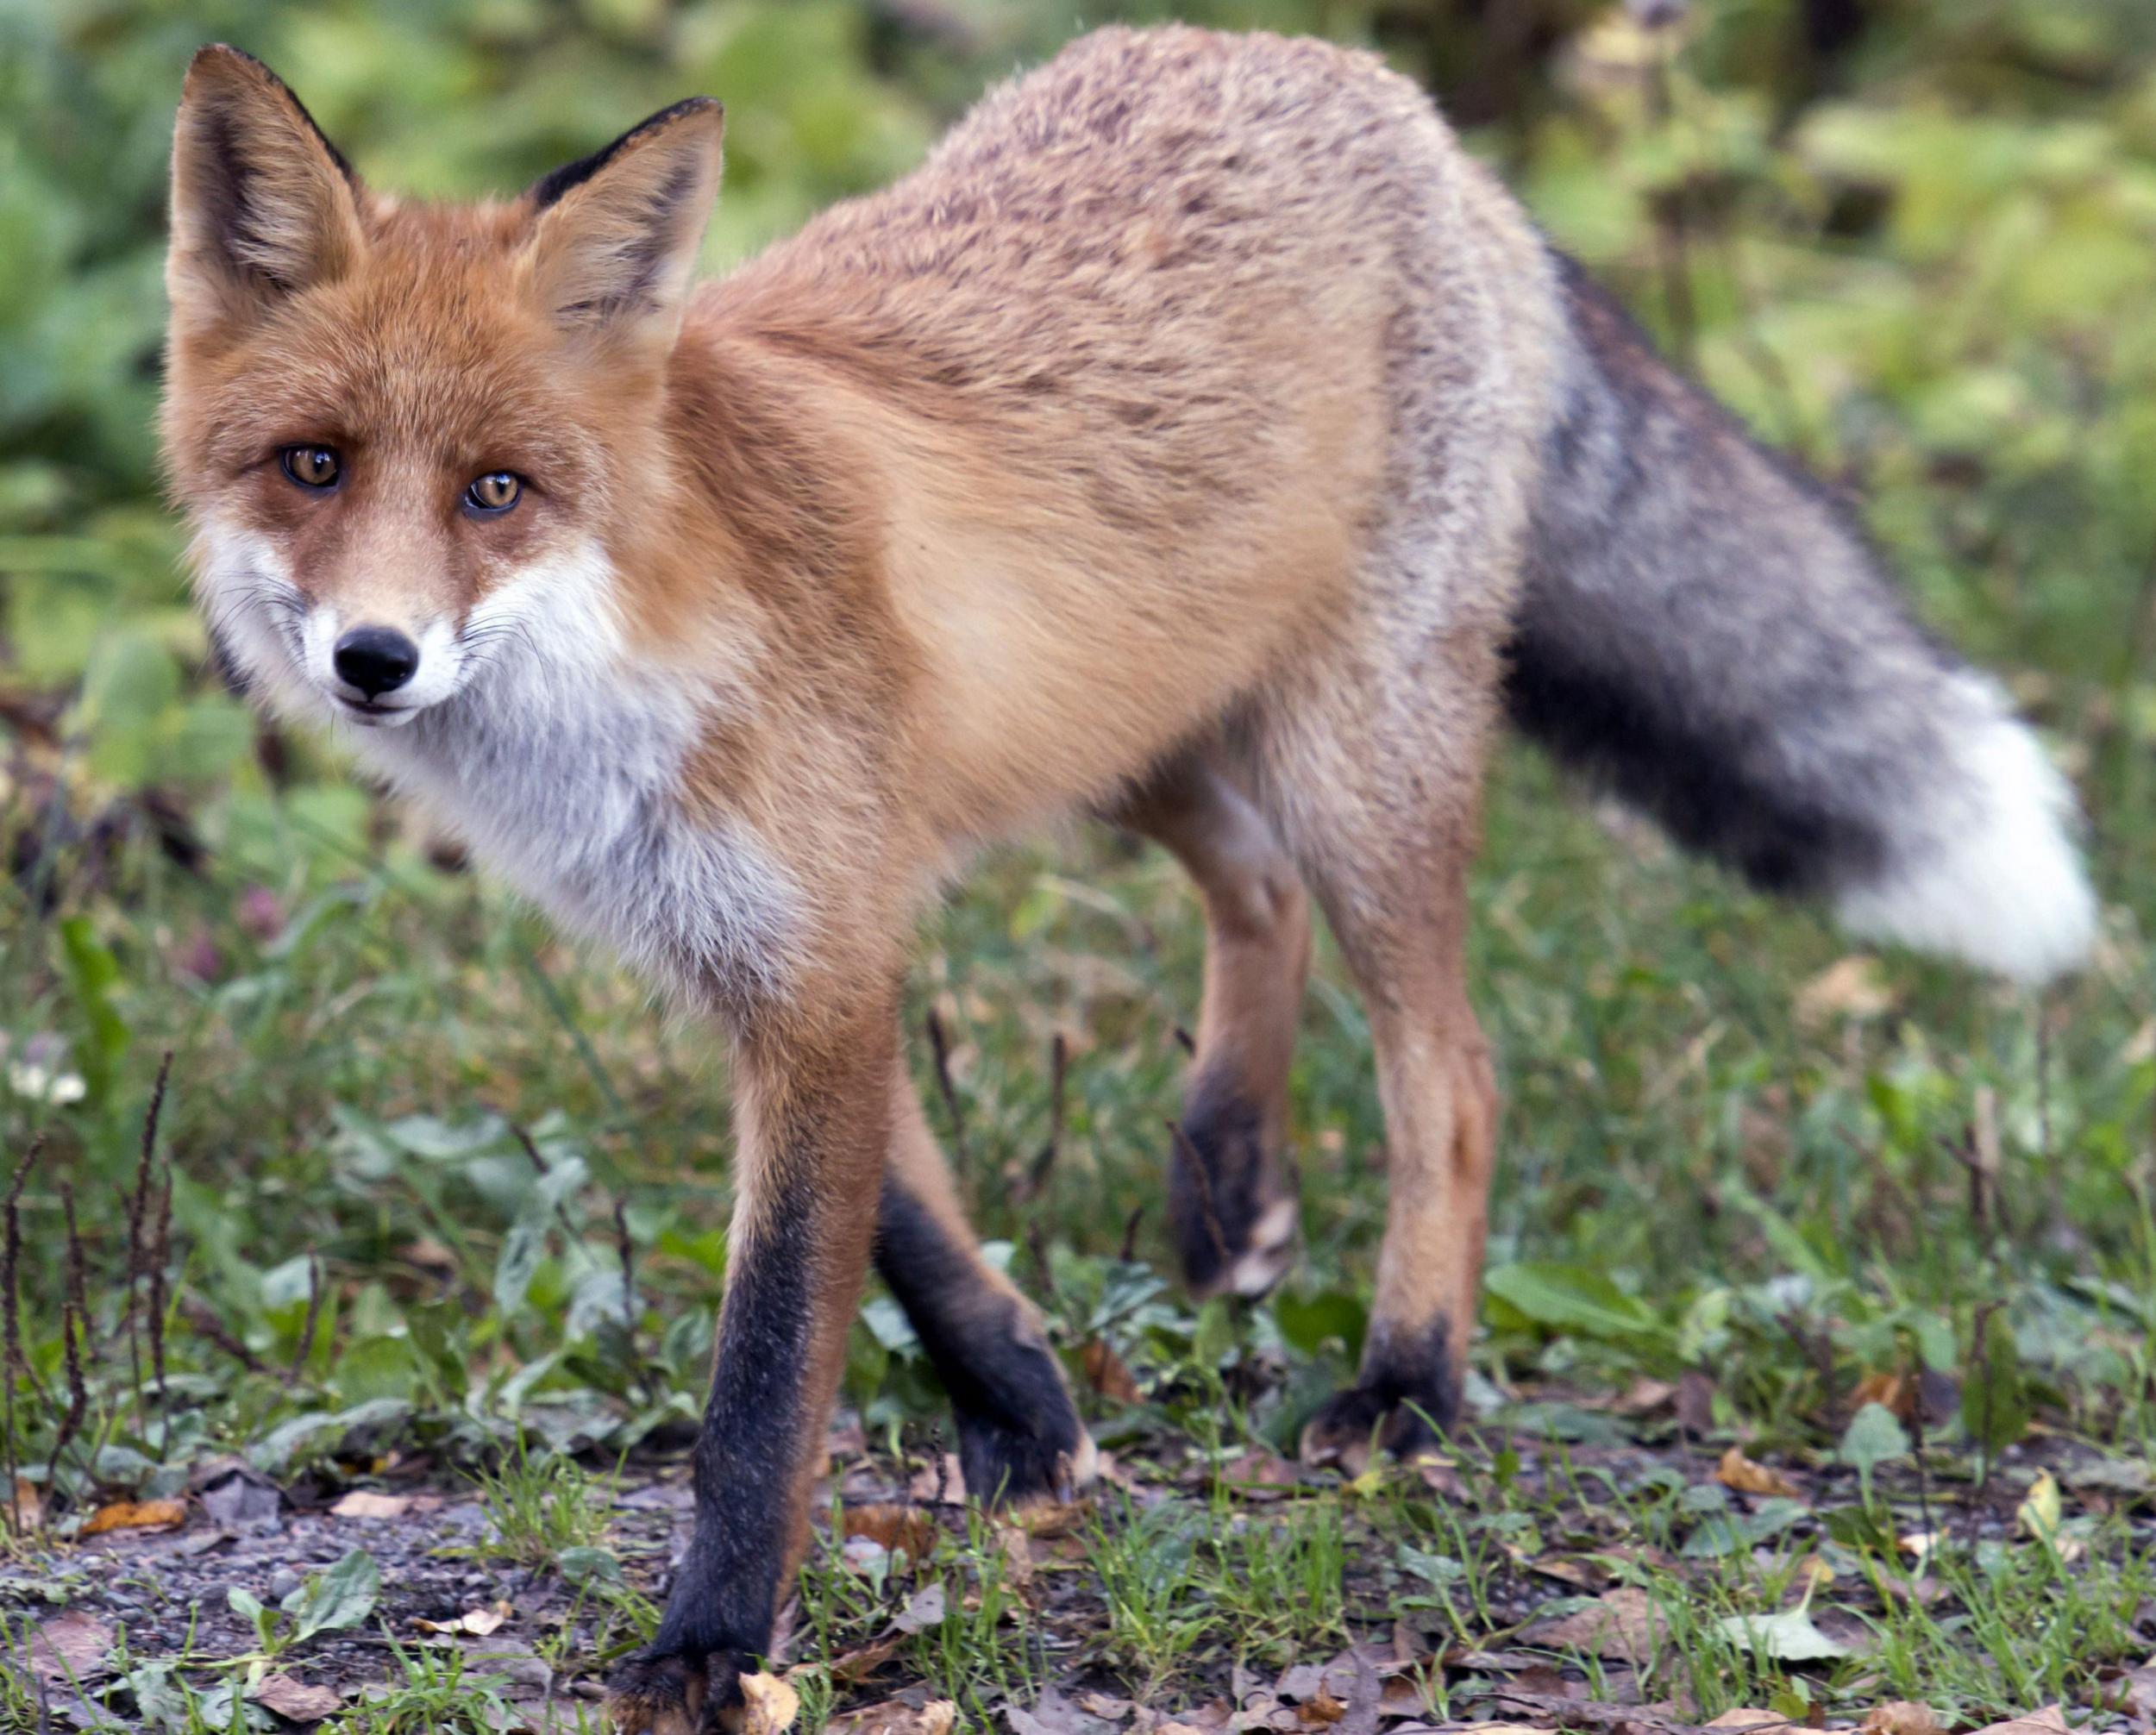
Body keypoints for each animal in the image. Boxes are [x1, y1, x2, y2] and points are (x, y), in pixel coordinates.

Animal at [160, 27, 2096, 1732]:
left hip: (1349, 757)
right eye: (314, 464)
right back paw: (1230, 1173)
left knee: (1452, 1072)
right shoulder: (776, 953)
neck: (623, 652)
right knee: (1254, 890)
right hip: (1132, 726)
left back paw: (1406, 1376)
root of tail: (1383, 98)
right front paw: (1028, 1409)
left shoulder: (819, 954)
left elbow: (768, 1363)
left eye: (496, 492)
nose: (375, 659)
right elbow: (911, 1224)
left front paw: (714, 1644)